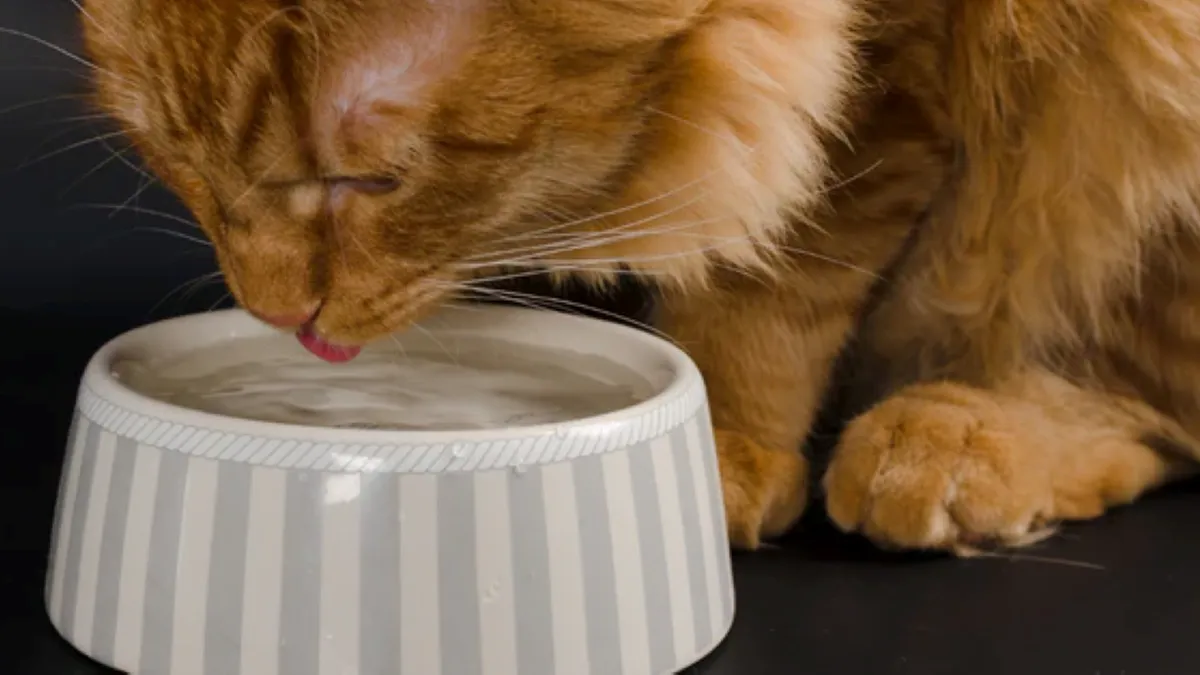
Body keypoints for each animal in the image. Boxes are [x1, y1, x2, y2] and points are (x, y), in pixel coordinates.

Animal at [79, 0, 1200, 554]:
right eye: (176, 160)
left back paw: (966, 436)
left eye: (368, 180)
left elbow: (782, 262)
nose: (278, 313)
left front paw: (725, 446)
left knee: (1139, 404)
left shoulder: (881, 72)